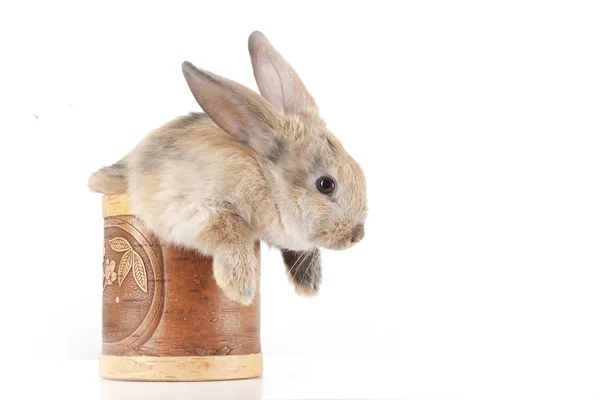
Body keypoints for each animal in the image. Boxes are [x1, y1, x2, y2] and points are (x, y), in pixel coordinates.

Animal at [88, 31, 366, 304]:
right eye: (326, 184)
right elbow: (229, 229)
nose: (358, 235)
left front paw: (309, 283)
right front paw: (239, 287)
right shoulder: (195, 206)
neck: (265, 177)